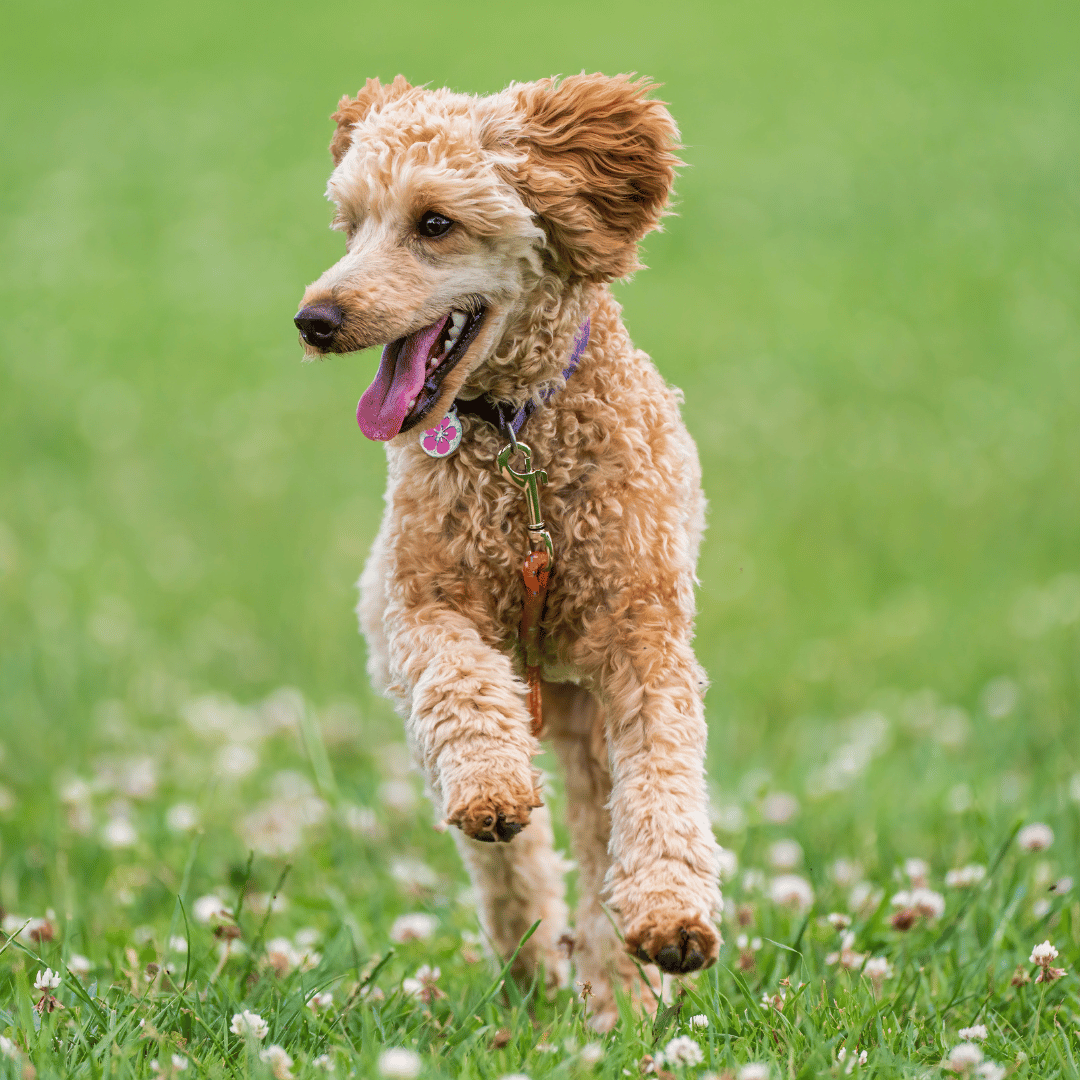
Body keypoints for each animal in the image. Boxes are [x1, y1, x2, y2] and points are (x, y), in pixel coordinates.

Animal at [291, 76, 721, 1028]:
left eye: (435, 223)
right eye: (351, 224)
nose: (315, 319)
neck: (518, 437)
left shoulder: (642, 638)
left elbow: (665, 774)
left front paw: (672, 916)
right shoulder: (421, 607)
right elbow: (460, 687)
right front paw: (493, 789)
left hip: (585, 711)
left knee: (600, 834)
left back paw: (616, 989)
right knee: (507, 857)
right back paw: (535, 961)